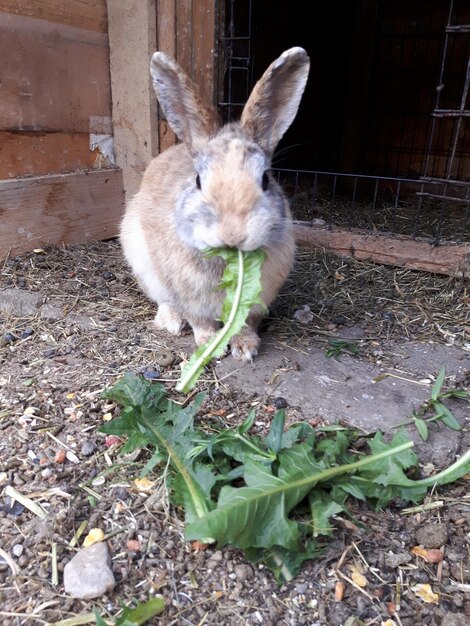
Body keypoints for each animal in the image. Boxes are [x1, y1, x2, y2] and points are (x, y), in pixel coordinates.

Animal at [121, 46, 310, 360]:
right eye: (198, 180)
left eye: (265, 179)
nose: (232, 234)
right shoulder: (189, 295)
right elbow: (199, 320)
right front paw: (210, 345)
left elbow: (246, 322)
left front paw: (246, 348)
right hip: (144, 265)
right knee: (164, 300)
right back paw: (171, 322)